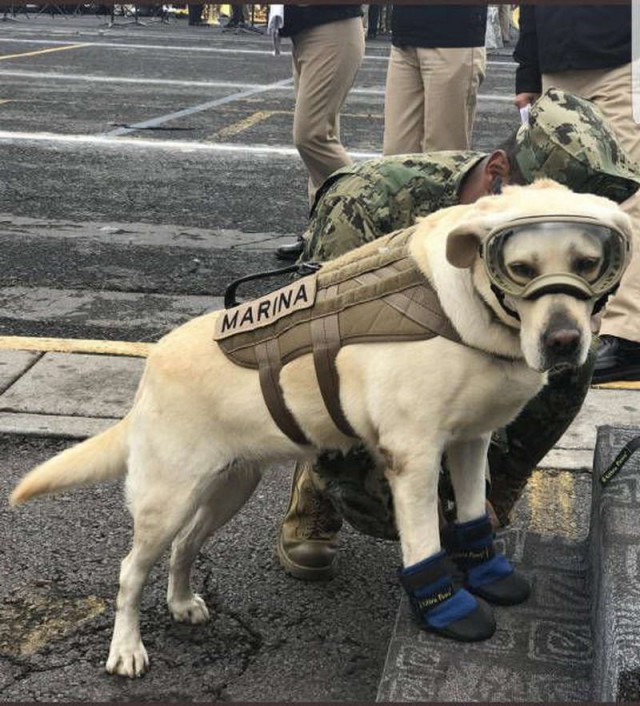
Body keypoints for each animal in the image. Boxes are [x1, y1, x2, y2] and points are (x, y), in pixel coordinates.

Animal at [8, 179, 632, 672]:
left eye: (589, 264)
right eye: (521, 269)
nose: (564, 342)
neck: (468, 308)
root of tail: (149, 372)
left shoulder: (470, 443)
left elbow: (474, 516)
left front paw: (491, 575)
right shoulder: (413, 458)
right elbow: (426, 543)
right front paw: (447, 609)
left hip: (227, 488)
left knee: (185, 546)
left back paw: (183, 603)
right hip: (167, 498)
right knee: (129, 571)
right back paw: (126, 648)